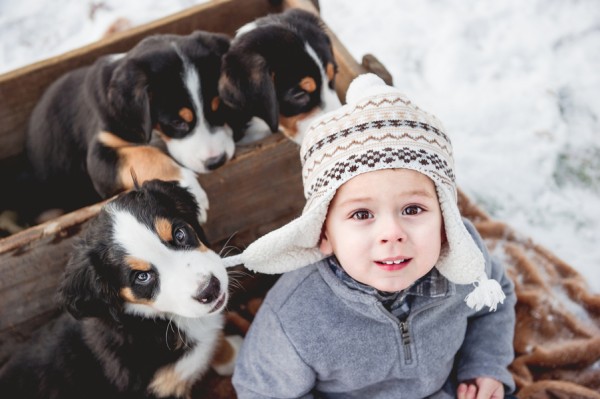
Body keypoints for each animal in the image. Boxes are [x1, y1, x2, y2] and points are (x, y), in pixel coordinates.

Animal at [23, 30, 244, 222]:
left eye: (219, 109)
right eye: (177, 122)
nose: (216, 161)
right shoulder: (99, 155)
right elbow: (146, 154)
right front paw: (188, 187)